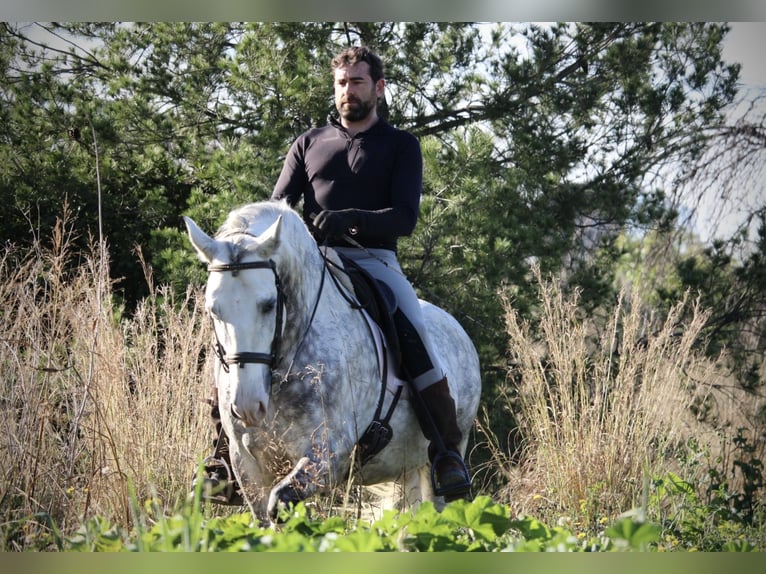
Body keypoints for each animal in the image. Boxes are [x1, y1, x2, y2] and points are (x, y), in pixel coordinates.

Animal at [184, 200, 480, 524]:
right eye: (213, 309)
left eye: (269, 305)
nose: (248, 407)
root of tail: (458, 329)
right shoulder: (246, 465)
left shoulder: (326, 456)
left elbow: (281, 503)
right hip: (405, 467)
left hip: (441, 458)